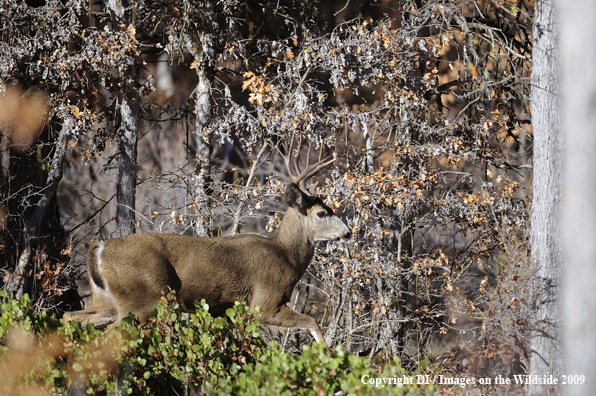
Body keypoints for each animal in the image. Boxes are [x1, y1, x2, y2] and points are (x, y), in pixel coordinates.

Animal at [62, 138, 352, 346]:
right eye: (322, 213)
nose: (348, 232)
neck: (286, 256)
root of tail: (99, 249)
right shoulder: (264, 302)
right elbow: (313, 323)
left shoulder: (227, 310)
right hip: (142, 300)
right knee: (108, 335)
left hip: (106, 301)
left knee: (71, 317)